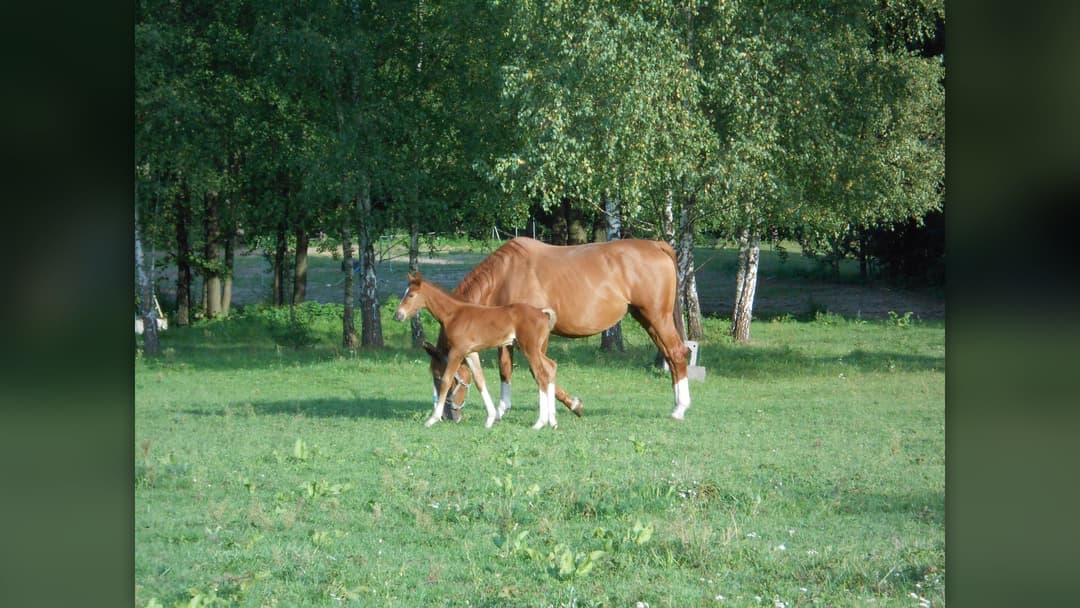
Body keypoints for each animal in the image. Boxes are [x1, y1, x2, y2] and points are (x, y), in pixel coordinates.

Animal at [394, 271, 562, 429]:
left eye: (411, 295)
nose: (398, 315)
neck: (453, 315)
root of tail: (542, 313)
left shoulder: (457, 351)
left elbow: (448, 379)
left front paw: (432, 419)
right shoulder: (471, 353)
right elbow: (480, 380)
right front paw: (490, 419)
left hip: (529, 348)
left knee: (541, 375)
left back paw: (540, 423)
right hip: (534, 349)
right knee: (551, 367)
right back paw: (553, 421)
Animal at [425, 237, 691, 421]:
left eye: (441, 376)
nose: (449, 415)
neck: (506, 275)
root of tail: (657, 245)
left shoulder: (536, 338)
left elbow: (539, 371)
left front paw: (571, 405)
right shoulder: (508, 335)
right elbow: (505, 368)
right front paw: (502, 410)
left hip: (657, 317)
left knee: (677, 353)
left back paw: (680, 409)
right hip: (647, 319)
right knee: (669, 355)